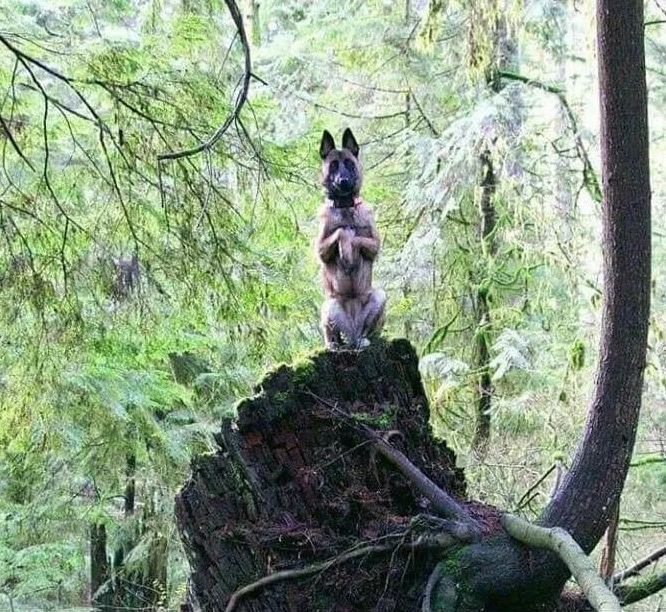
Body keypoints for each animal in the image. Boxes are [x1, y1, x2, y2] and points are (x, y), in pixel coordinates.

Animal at [316, 128, 386, 350]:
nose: (343, 181)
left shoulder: (374, 245)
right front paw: (346, 248)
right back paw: (333, 344)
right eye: (333, 165)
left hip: (380, 296)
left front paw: (350, 251)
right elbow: (341, 232)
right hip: (329, 305)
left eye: (348, 163)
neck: (346, 205)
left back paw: (364, 339)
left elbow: (357, 238)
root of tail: (352, 333)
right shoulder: (320, 249)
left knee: (367, 332)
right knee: (332, 334)